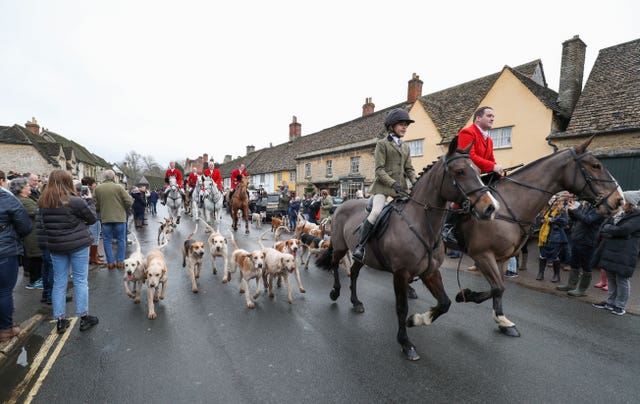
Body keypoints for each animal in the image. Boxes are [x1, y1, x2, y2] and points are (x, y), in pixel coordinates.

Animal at [316, 137, 500, 362]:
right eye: (460, 171)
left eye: (478, 169)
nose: (491, 208)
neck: (422, 224)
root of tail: (342, 205)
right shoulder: (401, 274)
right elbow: (402, 308)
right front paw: (405, 342)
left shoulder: (430, 272)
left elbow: (445, 303)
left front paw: (418, 320)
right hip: (341, 247)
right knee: (335, 265)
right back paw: (335, 292)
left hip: (362, 257)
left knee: (354, 274)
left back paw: (356, 301)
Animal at [448, 136, 624, 338]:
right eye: (596, 165)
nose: (619, 200)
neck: (508, 205)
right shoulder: (483, 255)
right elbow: (498, 287)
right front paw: (466, 295)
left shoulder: (502, 257)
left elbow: (498, 288)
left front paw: (502, 320)